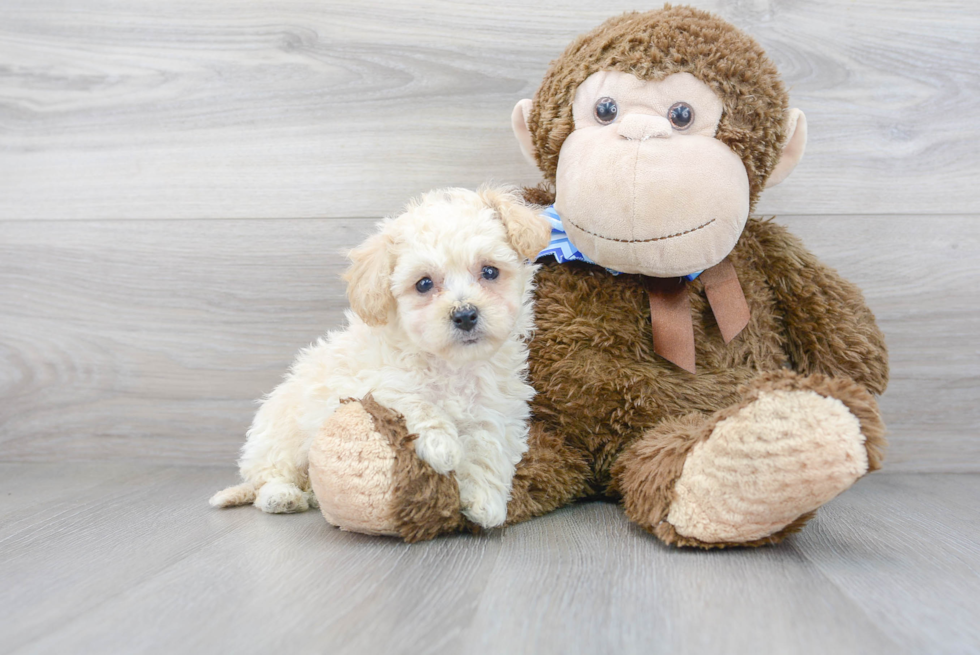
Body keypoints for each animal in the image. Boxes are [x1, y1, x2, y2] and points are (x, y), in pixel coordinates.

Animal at [211, 187, 552, 532]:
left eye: (490, 271)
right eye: (424, 283)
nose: (465, 315)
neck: (453, 365)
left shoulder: (496, 410)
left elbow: (488, 447)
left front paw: (485, 502)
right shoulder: (369, 384)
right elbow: (415, 400)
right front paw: (442, 446)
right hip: (278, 436)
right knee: (269, 476)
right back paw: (282, 496)